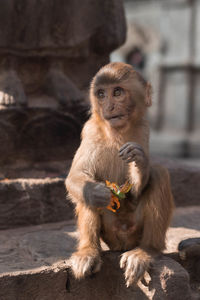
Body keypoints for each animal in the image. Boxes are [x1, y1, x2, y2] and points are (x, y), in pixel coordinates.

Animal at [65, 62, 173, 288]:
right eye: (101, 94)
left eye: (117, 92)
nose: (109, 107)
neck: (116, 132)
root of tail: (123, 242)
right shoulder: (90, 130)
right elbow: (77, 177)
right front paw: (95, 192)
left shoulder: (143, 129)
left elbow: (140, 185)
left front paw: (139, 161)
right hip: (110, 232)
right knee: (88, 190)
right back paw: (88, 252)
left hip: (136, 231)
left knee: (159, 173)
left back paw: (145, 251)